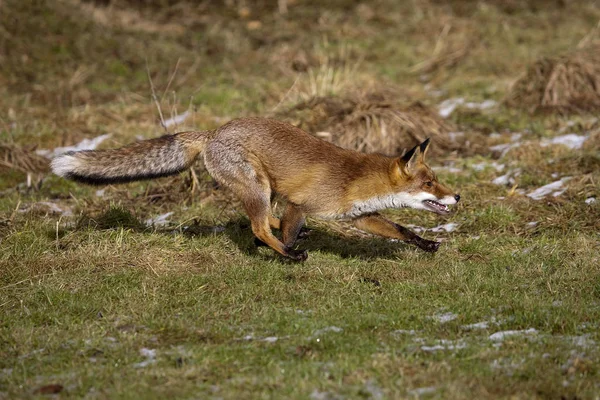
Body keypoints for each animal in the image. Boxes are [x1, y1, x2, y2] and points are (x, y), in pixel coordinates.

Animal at [54, 116, 462, 260]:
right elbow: (286, 229)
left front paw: (426, 244)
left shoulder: (359, 216)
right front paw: (288, 249)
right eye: (429, 183)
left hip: (263, 191)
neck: (354, 180)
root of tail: (213, 132)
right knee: (260, 225)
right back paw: (286, 253)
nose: (457, 195)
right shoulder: (300, 204)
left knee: (262, 223)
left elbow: (401, 229)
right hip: (259, 189)